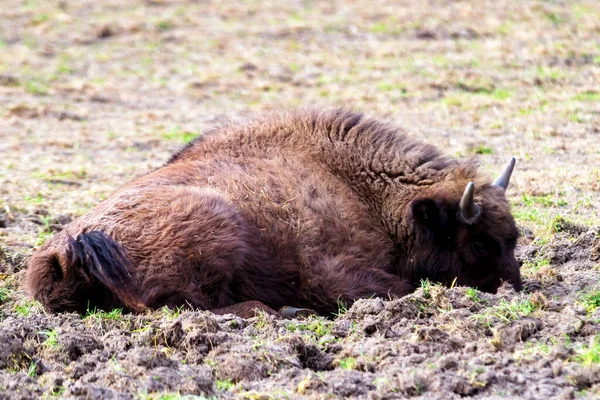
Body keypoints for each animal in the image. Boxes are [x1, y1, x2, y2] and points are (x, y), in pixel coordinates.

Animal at [24, 108, 520, 318]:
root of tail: (64, 249)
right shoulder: (330, 272)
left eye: (514, 237)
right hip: (218, 224)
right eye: (478, 242)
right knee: (182, 306)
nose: (516, 289)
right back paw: (283, 312)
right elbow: (398, 287)